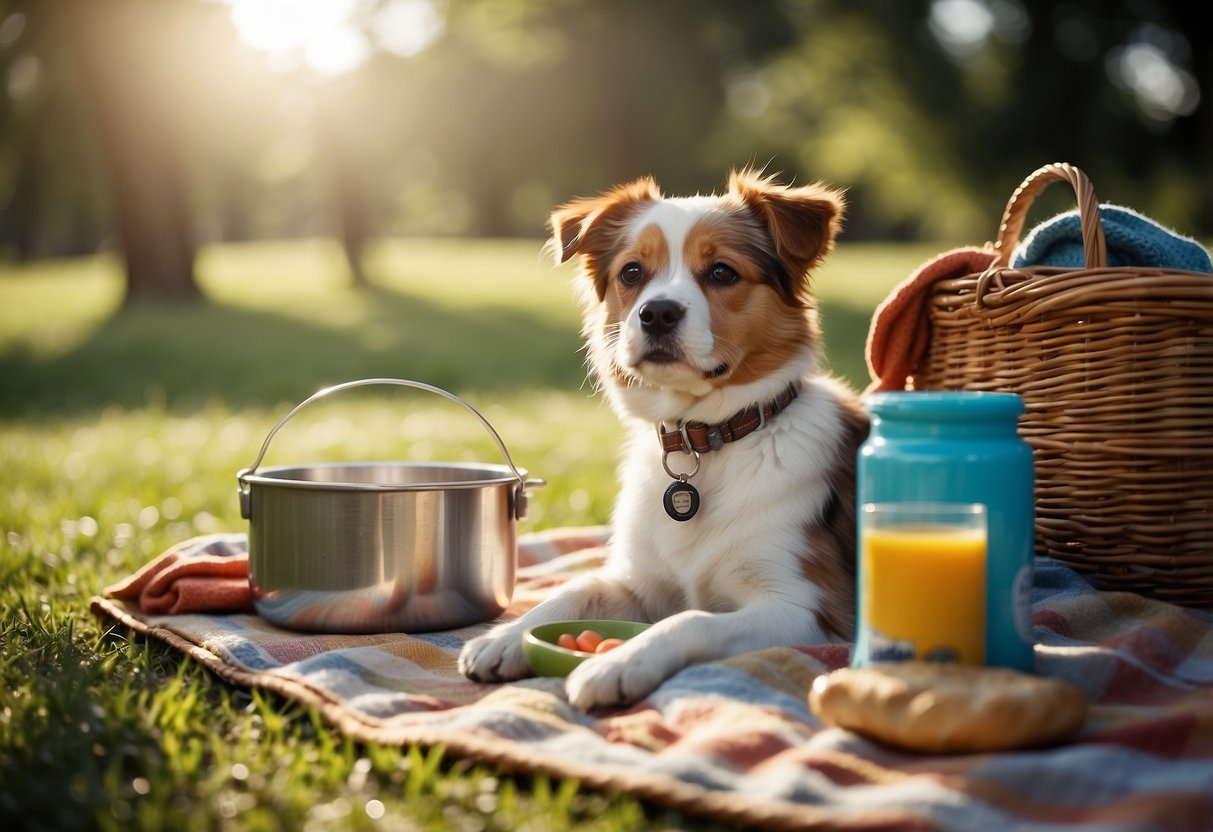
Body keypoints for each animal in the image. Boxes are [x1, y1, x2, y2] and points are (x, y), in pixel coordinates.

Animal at [458, 169, 868, 708]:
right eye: (632, 272)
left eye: (722, 273)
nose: (657, 313)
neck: (703, 440)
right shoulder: (640, 585)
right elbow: (576, 588)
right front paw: (506, 636)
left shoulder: (808, 612)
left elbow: (692, 619)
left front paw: (617, 663)